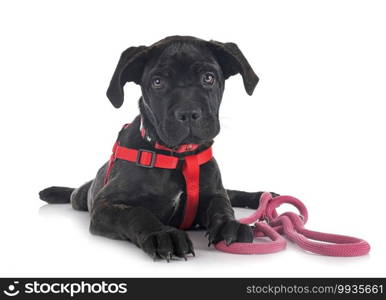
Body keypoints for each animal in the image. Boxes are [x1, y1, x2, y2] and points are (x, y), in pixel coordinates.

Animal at [39, 34, 274, 260]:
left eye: (209, 77)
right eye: (158, 82)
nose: (188, 113)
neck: (179, 157)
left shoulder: (214, 192)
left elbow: (222, 205)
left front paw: (228, 224)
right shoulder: (105, 204)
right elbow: (137, 213)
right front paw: (162, 234)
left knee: (232, 193)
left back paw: (263, 196)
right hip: (81, 197)